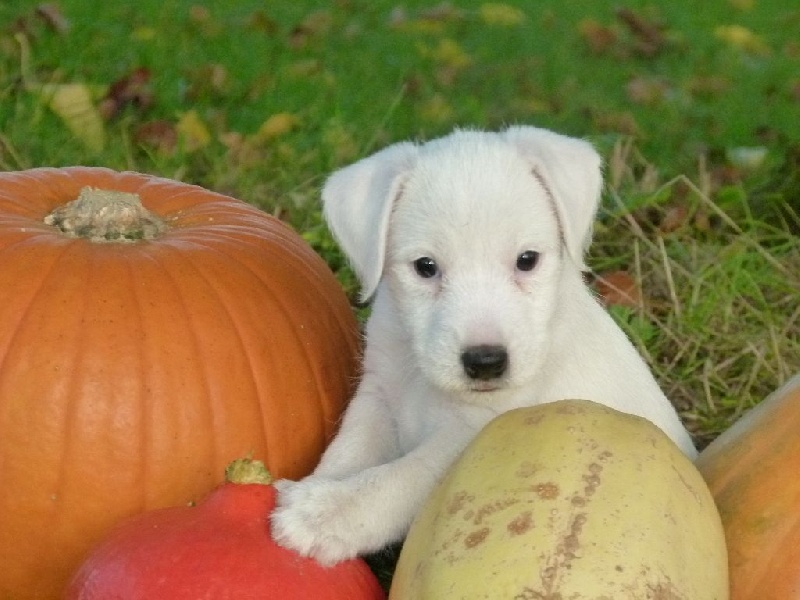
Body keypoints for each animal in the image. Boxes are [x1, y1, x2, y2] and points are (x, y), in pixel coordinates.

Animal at [268, 124, 692, 564]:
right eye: (425, 267)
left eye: (527, 260)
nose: (485, 362)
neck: (425, 382)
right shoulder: (378, 396)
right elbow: (349, 449)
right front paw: (316, 488)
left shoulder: (469, 436)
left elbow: (401, 478)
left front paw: (325, 513)